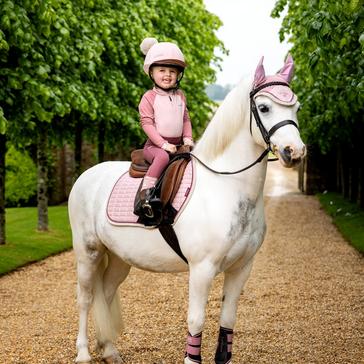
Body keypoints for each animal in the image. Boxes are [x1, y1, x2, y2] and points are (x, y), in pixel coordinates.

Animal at [67, 54, 304, 364]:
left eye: (297, 107)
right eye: (264, 107)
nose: (294, 152)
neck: (224, 186)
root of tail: (86, 176)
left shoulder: (241, 268)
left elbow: (228, 320)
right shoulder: (202, 269)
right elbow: (196, 320)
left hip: (118, 257)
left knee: (104, 294)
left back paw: (109, 350)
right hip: (88, 252)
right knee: (84, 298)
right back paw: (83, 352)